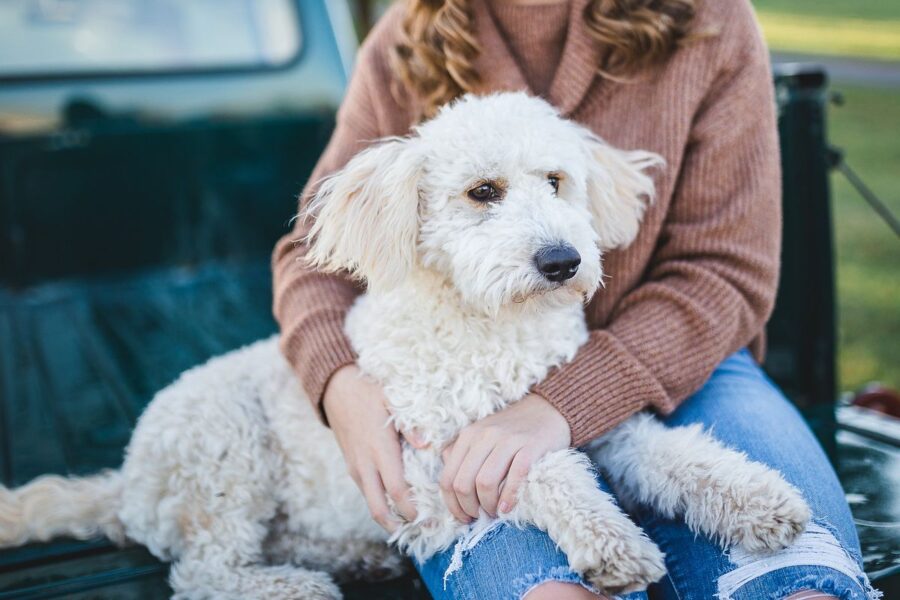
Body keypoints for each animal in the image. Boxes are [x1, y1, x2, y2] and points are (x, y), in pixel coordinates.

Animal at [0, 91, 812, 596]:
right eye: (483, 192)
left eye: (557, 181)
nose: (562, 260)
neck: (491, 324)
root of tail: (126, 484)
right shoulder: (433, 464)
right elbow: (545, 471)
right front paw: (611, 542)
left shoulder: (590, 420)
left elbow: (675, 455)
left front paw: (758, 498)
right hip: (225, 449)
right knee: (201, 575)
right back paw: (290, 587)